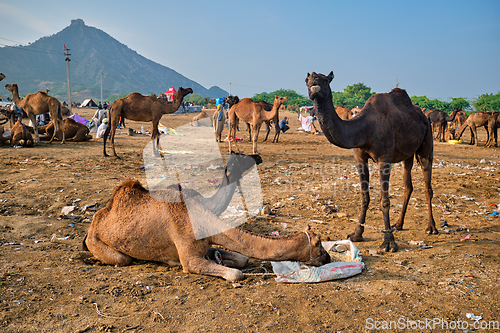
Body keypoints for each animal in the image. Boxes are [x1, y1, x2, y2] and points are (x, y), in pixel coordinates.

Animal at [84, 153, 330, 280]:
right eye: (319, 244)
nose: (328, 258)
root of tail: (96, 219)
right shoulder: (189, 258)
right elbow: (235, 274)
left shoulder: (207, 245)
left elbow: (241, 258)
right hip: (98, 242)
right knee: (121, 259)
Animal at [304, 70, 438, 252]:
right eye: (306, 80)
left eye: (326, 80)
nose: (314, 82)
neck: (366, 128)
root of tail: (424, 116)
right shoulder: (359, 157)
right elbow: (364, 196)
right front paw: (356, 234)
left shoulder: (384, 159)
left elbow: (385, 201)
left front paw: (389, 243)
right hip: (407, 154)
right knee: (408, 185)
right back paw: (398, 224)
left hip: (427, 141)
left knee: (427, 184)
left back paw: (431, 227)